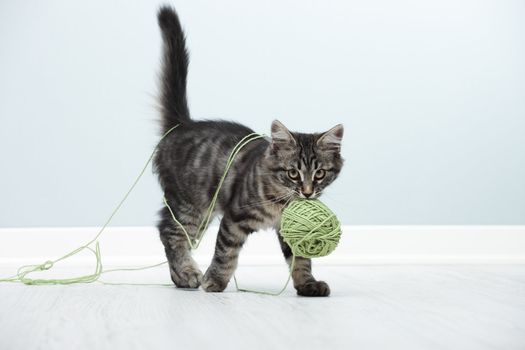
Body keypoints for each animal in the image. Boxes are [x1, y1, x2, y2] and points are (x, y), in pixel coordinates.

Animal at [152, 6, 344, 296]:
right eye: (293, 173)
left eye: (320, 173)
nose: (308, 192)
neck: (282, 202)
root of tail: (183, 124)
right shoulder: (233, 218)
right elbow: (226, 254)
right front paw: (214, 281)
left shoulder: (291, 227)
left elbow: (301, 259)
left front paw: (307, 284)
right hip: (191, 205)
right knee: (169, 232)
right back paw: (187, 273)